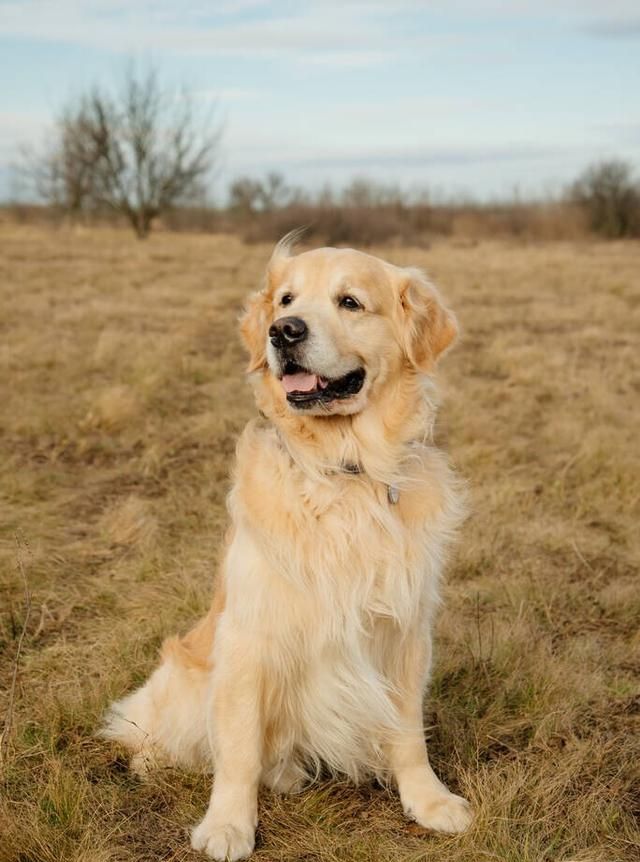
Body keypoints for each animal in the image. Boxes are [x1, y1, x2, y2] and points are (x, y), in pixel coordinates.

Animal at [102, 233, 472, 860]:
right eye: (285, 300)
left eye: (350, 301)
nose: (284, 332)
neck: (343, 470)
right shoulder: (249, 637)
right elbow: (237, 749)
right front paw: (228, 825)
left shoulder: (405, 632)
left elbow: (407, 732)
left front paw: (428, 800)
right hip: (184, 675)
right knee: (147, 727)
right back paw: (156, 763)